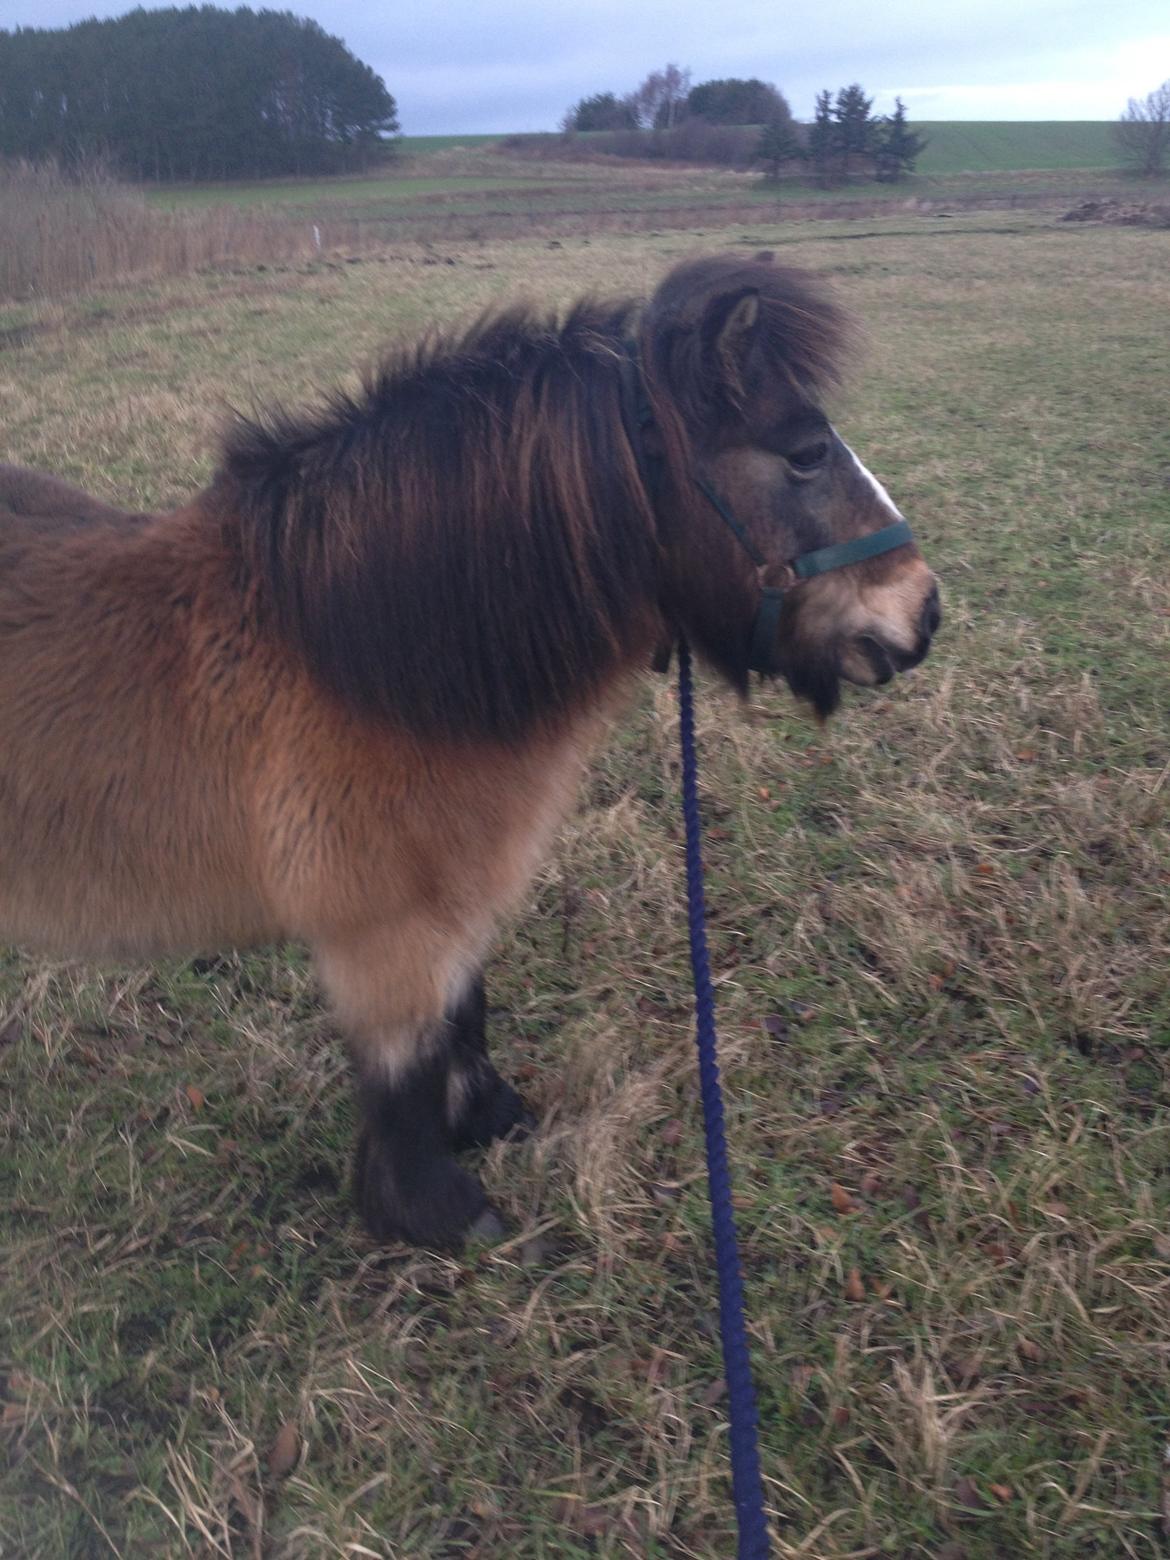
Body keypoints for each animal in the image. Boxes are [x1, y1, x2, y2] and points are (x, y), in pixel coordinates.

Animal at [0, 254, 940, 1249]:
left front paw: (487, 1119)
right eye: (803, 453)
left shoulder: (452, 897)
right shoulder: (382, 932)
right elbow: (404, 1062)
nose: (923, 609)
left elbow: (464, 1010)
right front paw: (435, 1210)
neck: (357, 656)